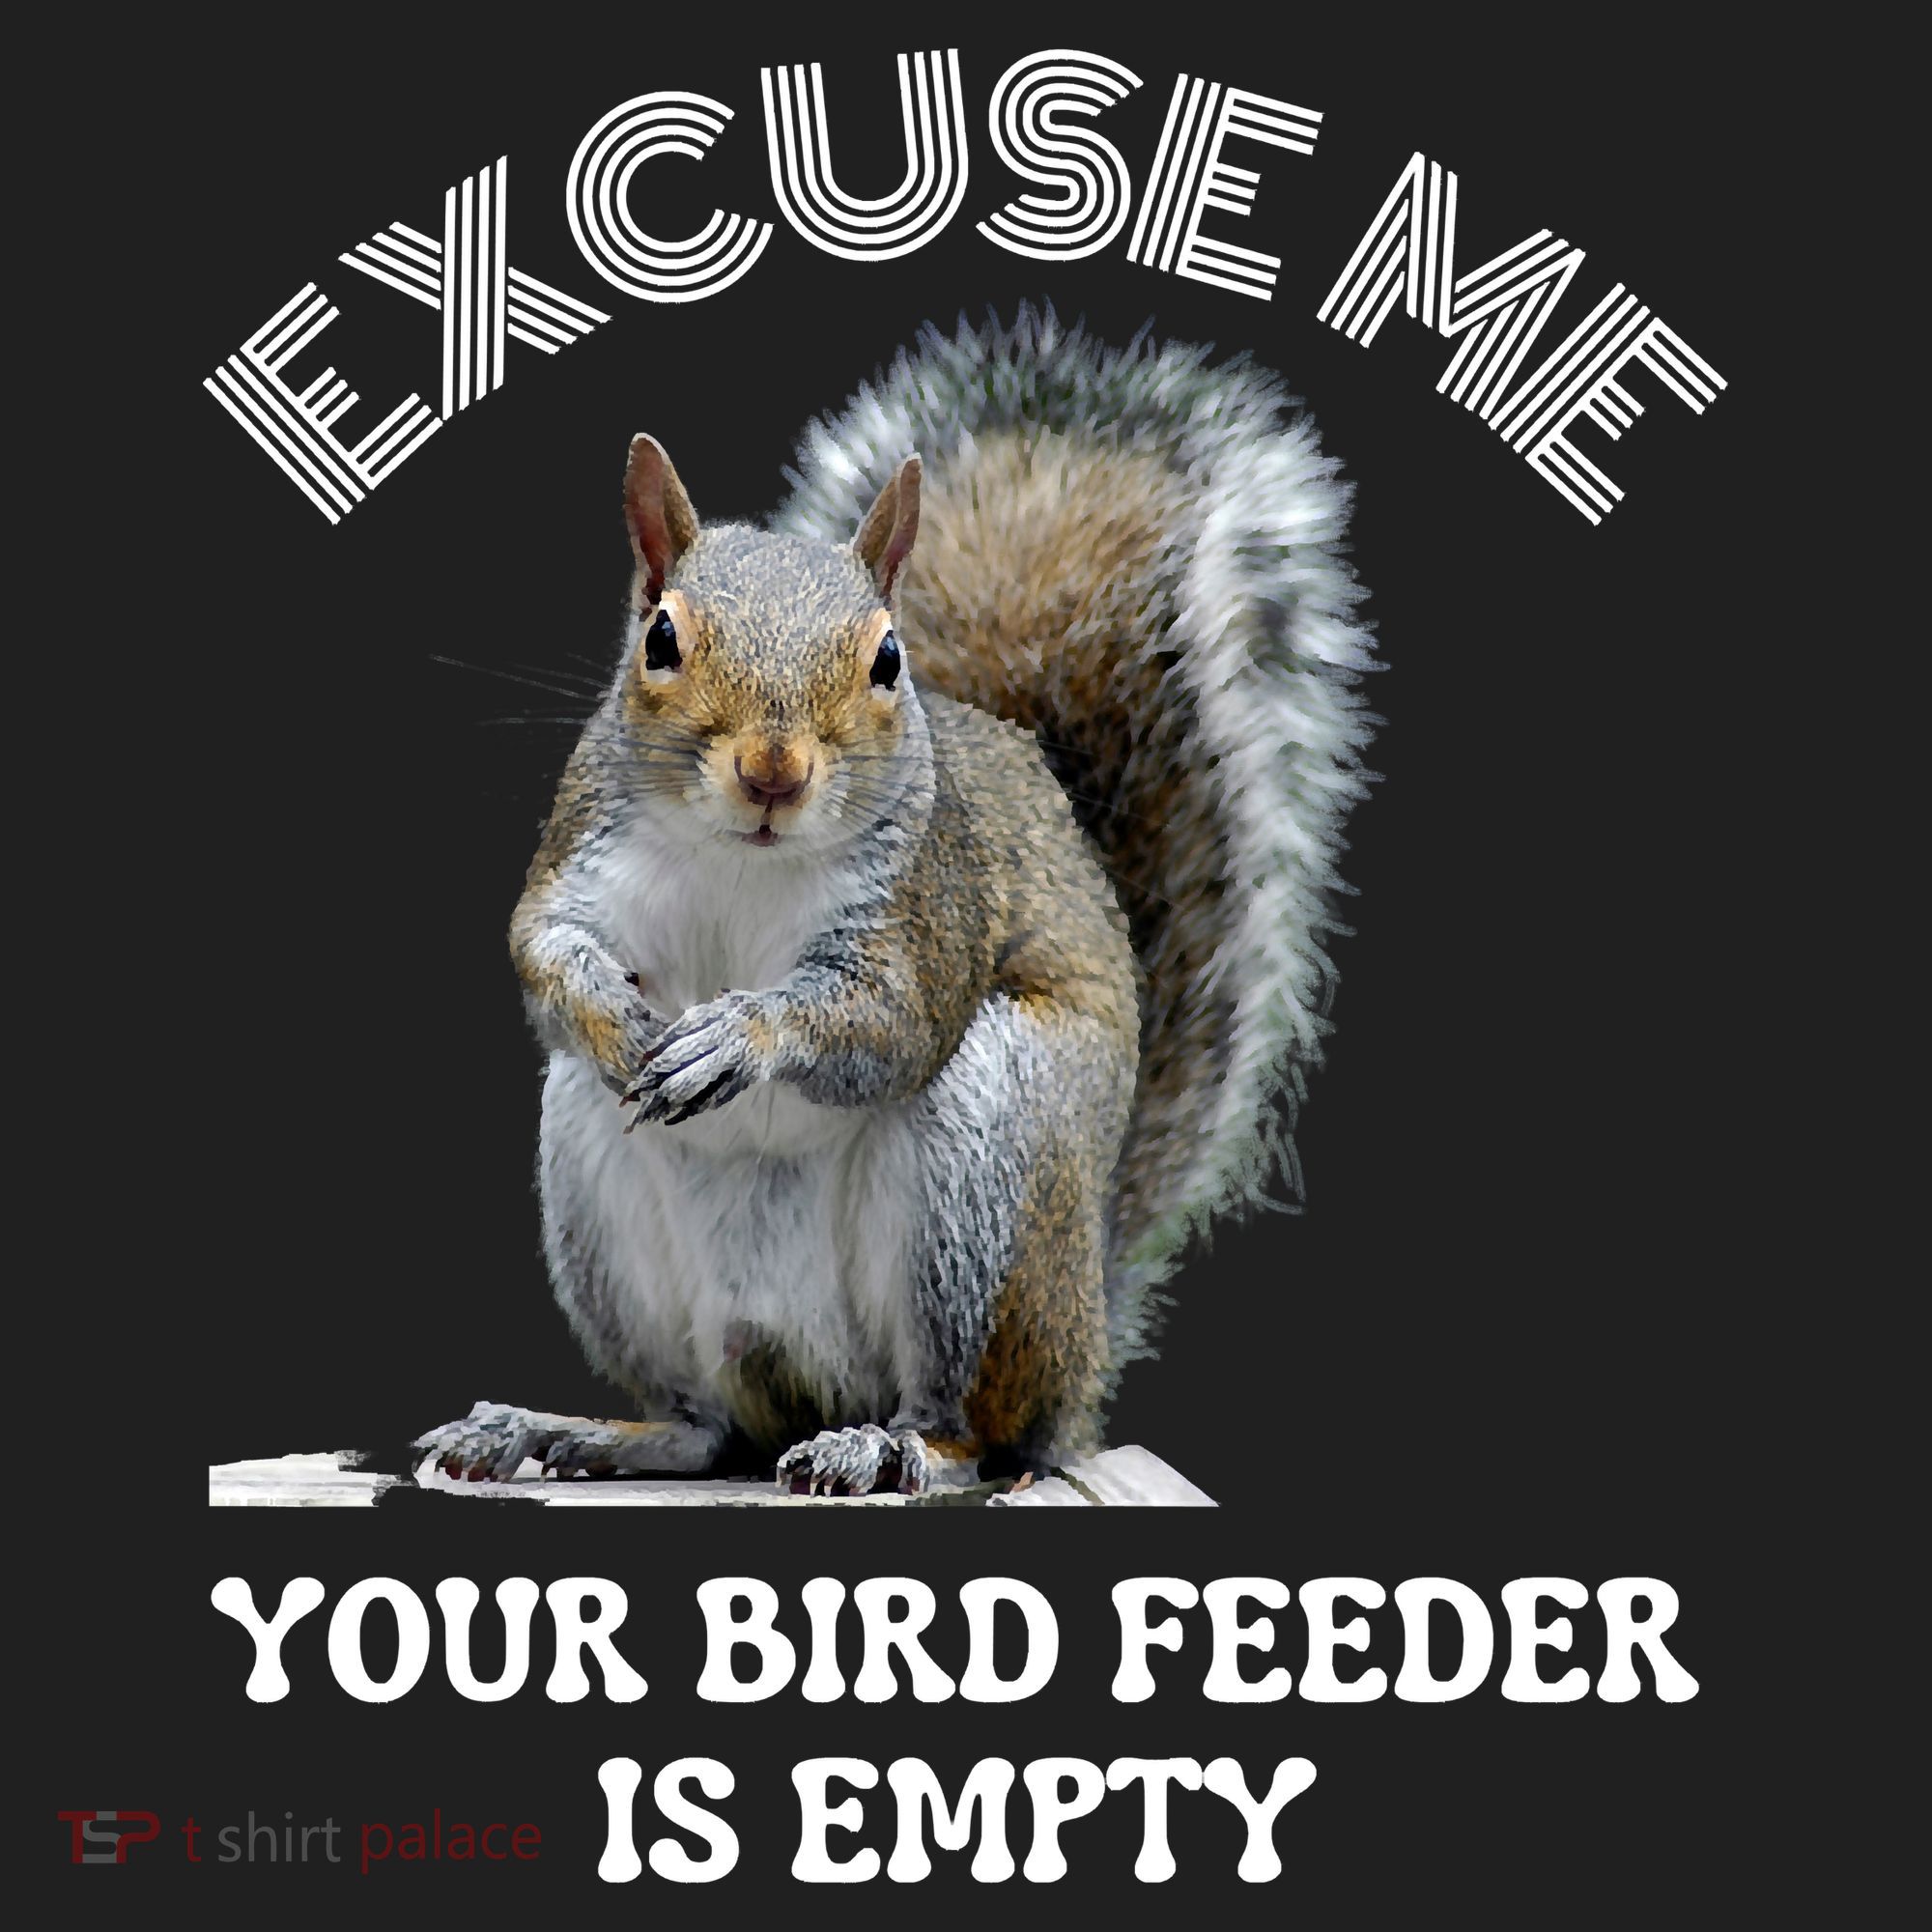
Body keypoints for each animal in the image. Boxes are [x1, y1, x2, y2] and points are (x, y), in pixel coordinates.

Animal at [415, 308, 1376, 1497]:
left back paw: (887, 1442)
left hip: (986, 1167)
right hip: (597, 1185)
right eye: (660, 639)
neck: (745, 857)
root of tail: (1083, 1344)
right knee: (701, 1425)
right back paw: (564, 1431)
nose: (772, 772)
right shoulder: (584, 852)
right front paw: (614, 1015)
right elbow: (542, 945)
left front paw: (738, 1035)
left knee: (974, 1425)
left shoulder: (927, 906)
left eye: (885, 658)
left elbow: (890, 1019)